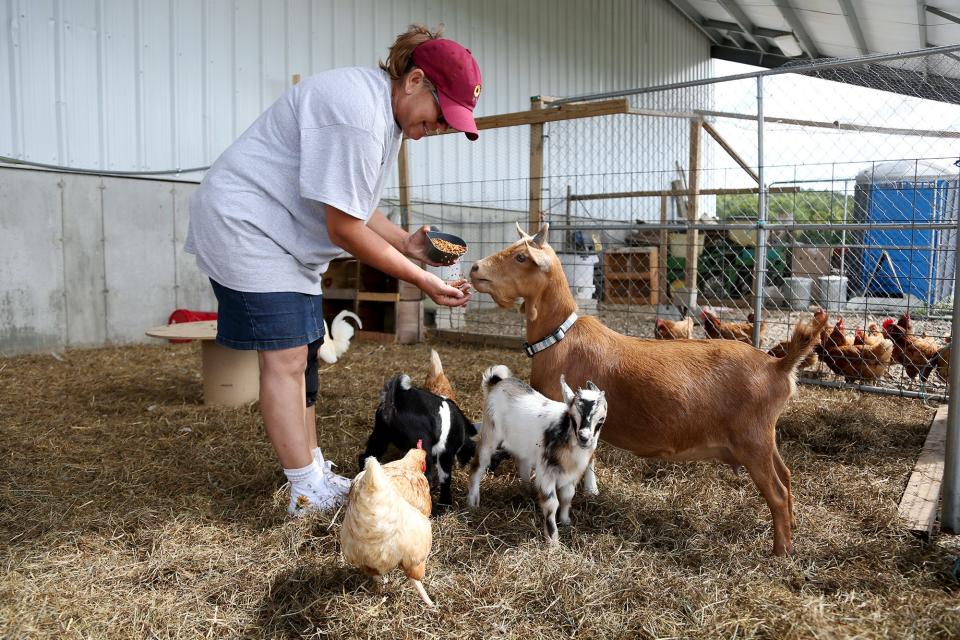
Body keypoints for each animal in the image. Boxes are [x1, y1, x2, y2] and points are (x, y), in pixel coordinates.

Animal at [470, 222, 824, 552]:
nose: (475, 269)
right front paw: (590, 492)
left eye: (520, 257)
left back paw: (781, 551)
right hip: (765, 437)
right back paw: (792, 528)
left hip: (752, 440)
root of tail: (778, 366)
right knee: (787, 476)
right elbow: (589, 460)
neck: (561, 338)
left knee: (777, 492)